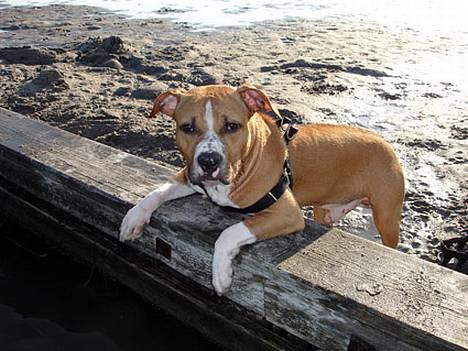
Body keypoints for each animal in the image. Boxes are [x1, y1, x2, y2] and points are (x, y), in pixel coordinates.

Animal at [119, 86, 404, 296]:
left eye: (232, 126)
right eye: (187, 127)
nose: (209, 161)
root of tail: (384, 142)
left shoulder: (287, 213)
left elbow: (229, 233)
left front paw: (220, 275)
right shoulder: (188, 176)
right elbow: (156, 192)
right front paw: (134, 218)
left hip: (387, 218)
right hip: (325, 211)